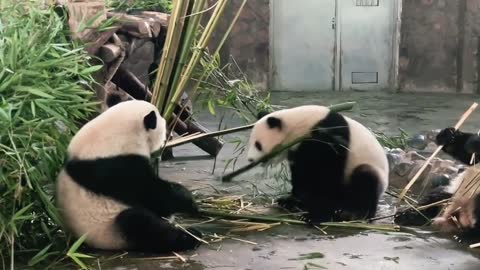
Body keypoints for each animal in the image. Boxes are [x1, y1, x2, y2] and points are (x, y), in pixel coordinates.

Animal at [56, 99, 202, 253]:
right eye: (161, 121)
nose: (167, 132)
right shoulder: (116, 168)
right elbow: (151, 193)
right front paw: (189, 202)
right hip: (107, 228)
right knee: (139, 225)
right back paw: (190, 238)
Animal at [246, 104, 388, 223]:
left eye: (258, 145)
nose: (251, 160)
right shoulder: (298, 151)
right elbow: (303, 174)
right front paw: (292, 201)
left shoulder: (328, 136)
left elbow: (326, 175)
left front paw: (316, 215)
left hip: (368, 169)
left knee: (365, 179)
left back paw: (355, 213)